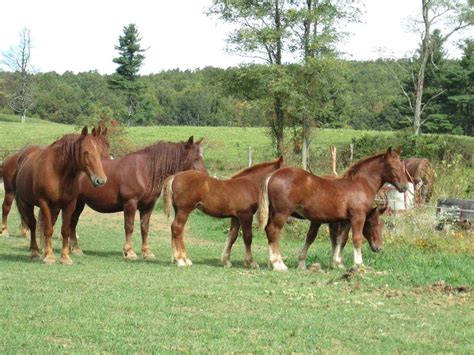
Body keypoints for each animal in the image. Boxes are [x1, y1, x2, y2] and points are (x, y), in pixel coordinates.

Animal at [14, 128, 109, 264]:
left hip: (54, 208)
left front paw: (65, 257)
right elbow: (48, 229)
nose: (100, 180)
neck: (58, 172)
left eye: (100, 151)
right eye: (86, 152)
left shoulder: (69, 204)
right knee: (32, 224)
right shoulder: (44, 202)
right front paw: (49, 257)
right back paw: (35, 251)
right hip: (26, 202)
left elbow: (65, 230)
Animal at [68, 136, 206, 262]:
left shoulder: (148, 206)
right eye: (195, 158)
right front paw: (129, 252)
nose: (205, 177)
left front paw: (147, 252)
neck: (145, 171)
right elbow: (129, 227)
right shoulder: (130, 203)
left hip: (80, 202)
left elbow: (145, 228)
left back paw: (75, 249)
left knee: (73, 221)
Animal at [258, 149, 410, 272]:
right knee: (273, 231)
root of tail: (272, 176)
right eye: (374, 224)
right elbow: (357, 239)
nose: (404, 187)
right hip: (282, 213)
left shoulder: (346, 220)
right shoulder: (358, 217)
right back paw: (278, 264)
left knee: (269, 231)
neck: (359, 184)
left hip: (273, 213)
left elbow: (341, 239)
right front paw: (359, 264)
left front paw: (337, 263)